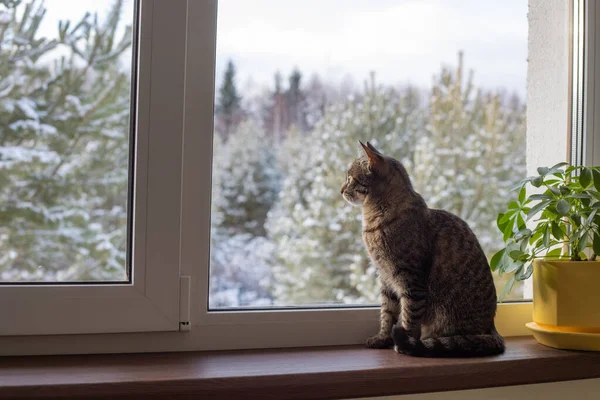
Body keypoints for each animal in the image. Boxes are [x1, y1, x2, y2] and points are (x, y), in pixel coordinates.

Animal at [340, 141, 504, 356]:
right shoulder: (385, 278)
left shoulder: (411, 279)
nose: (341, 189)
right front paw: (383, 338)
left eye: (350, 178)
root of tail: (493, 328)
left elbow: (409, 316)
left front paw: (406, 344)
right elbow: (387, 312)